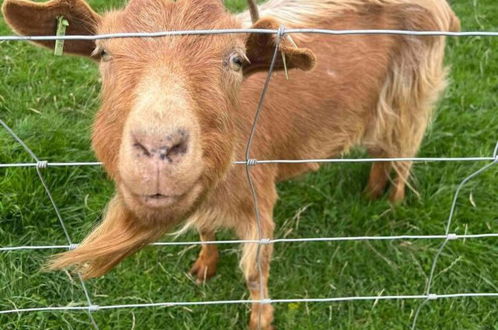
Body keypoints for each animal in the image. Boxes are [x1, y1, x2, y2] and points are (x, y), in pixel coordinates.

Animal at [1, 0, 460, 328]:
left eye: (237, 60)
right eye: (102, 51)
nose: (158, 148)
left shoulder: (259, 200)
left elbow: (255, 271)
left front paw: (261, 320)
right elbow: (206, 229)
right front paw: (204, 266)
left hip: (411, 96)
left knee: (403, 151)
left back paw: (391, 205)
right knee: (382, 150)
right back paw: (370, 192)